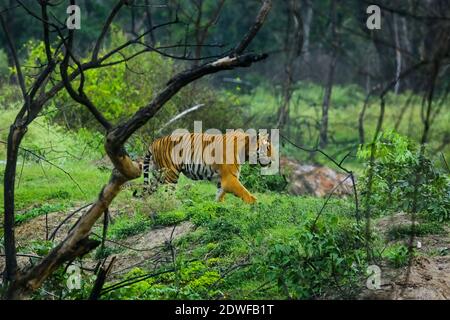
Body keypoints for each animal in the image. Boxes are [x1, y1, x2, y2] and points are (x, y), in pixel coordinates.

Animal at [133, 131, 274, 204]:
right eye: (267, 147)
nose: (273, 160)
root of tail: (154, 143)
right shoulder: (229, 179)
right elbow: (245, 193)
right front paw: (257, 205)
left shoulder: (221, 181)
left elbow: (220, 195)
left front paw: (218, 208)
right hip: (171, 174)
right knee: (168, 194)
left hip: (158, 175)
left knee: (149, 190)